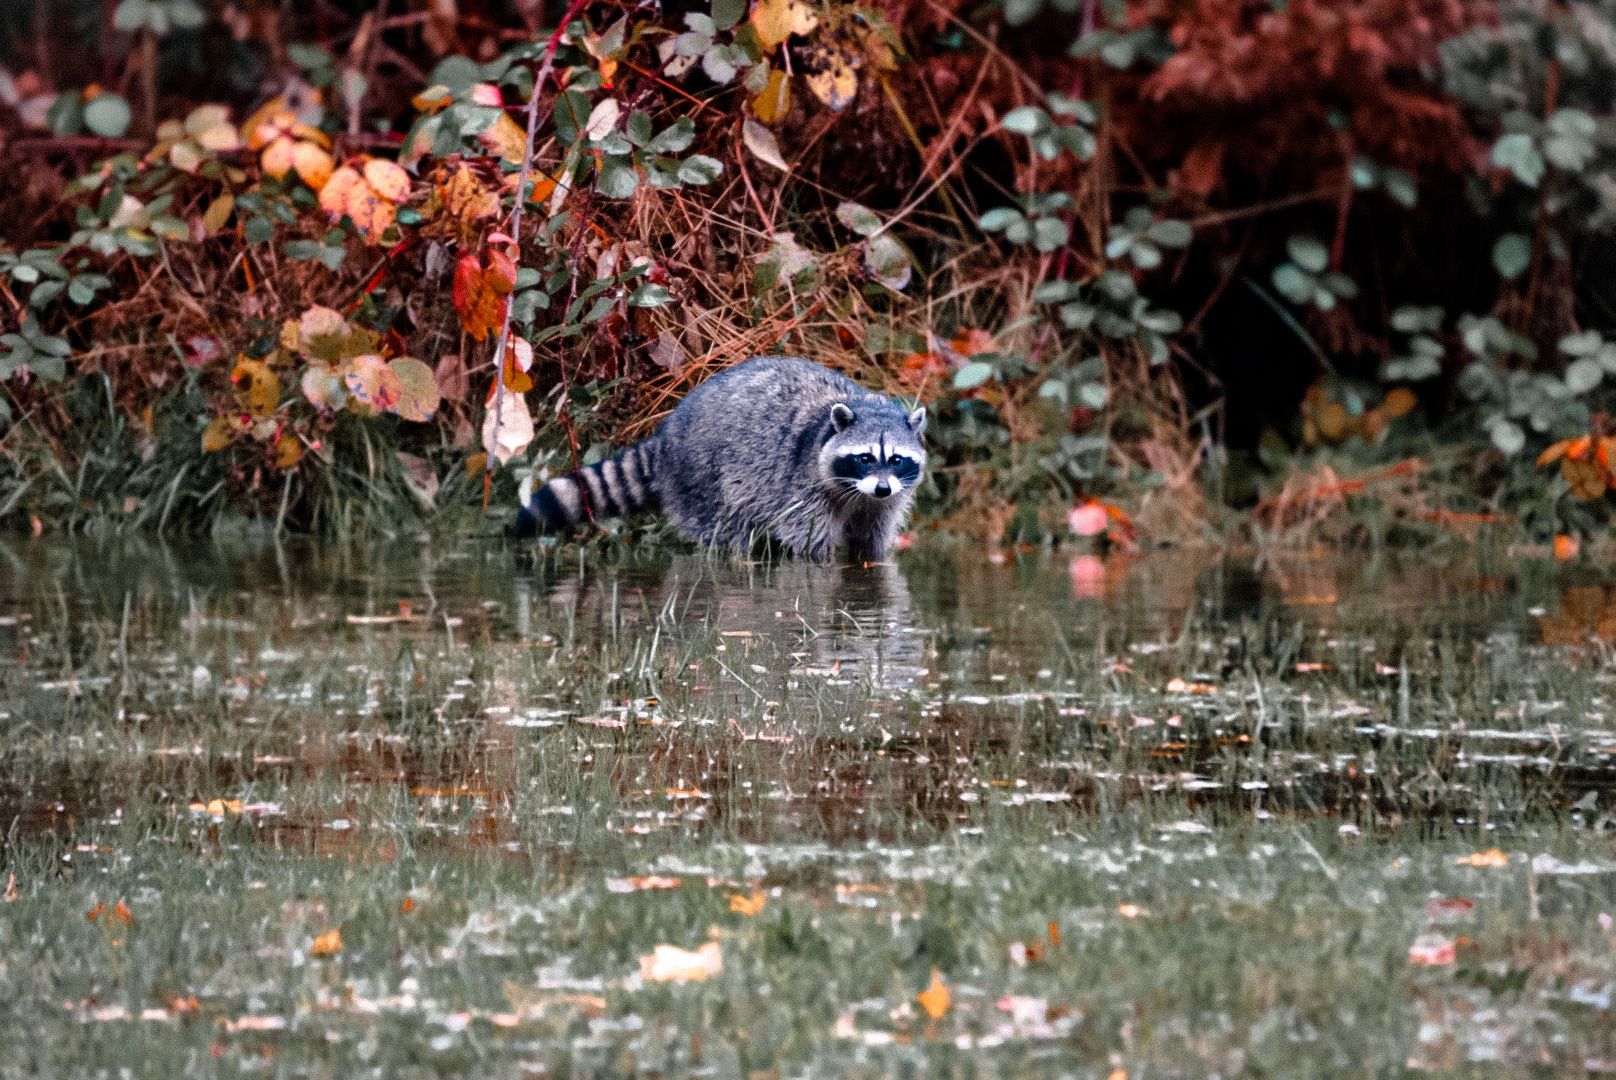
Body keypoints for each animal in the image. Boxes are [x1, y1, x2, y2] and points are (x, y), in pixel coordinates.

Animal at [516, 356, 927, 562]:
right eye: (864, 457)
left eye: (897, 460)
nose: (881, 488)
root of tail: (668, 436)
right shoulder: (802, 483)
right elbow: (808, 535)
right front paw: (819, 557)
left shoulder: (888, 499)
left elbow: (873, 535)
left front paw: (871, 556)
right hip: (704, 477)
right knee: (726, 531)